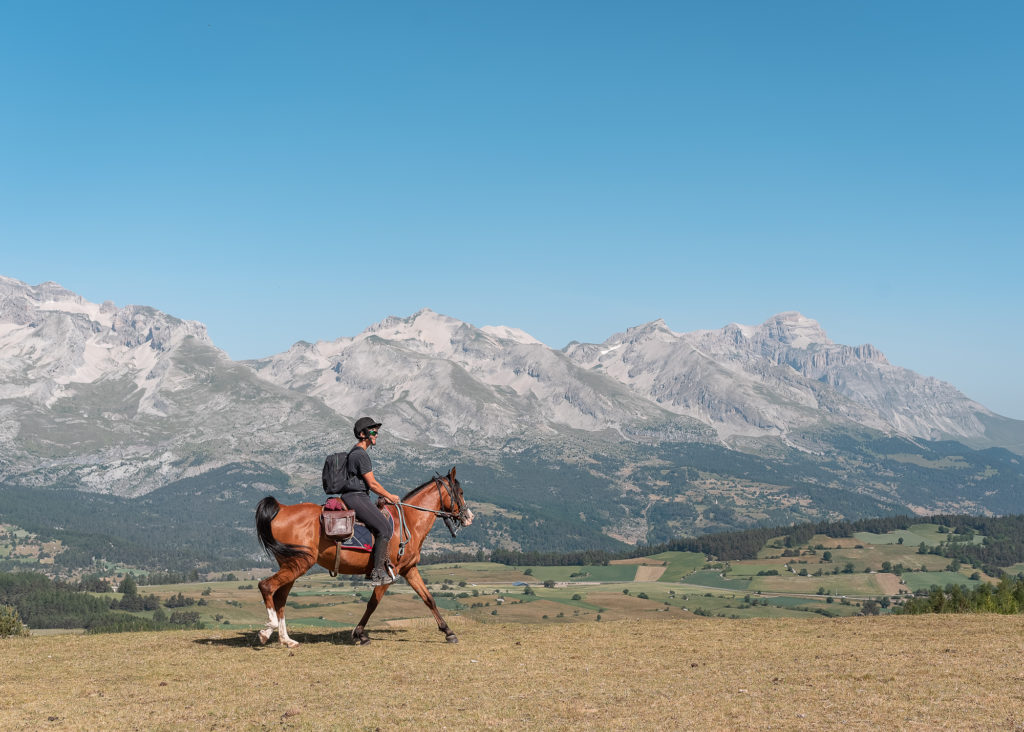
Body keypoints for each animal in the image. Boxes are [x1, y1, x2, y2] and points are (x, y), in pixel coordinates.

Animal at [249, 468, 473, 647]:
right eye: (461, 493)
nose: (469, 516)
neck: (408, 521)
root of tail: (282, 508)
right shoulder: (388, 572)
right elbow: (373, 603)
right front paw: (359, 634)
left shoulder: (409, 569)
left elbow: (429, 599)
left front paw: (448, 632)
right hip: (298, 563)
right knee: (266, 586)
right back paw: (267, 631)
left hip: (291, 565)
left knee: (280, 598)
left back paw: (286, 640)